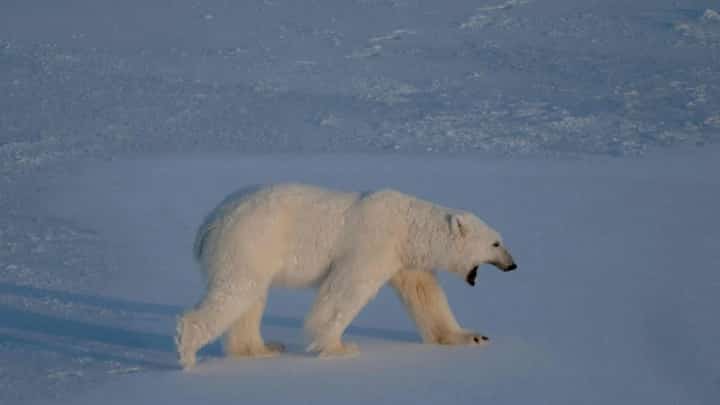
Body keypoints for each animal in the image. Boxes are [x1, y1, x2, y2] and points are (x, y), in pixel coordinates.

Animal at [176, 183, 517, 369]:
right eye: (496, 243)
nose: (513, 265)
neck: (407, 226)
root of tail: (209, 222)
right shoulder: (373, 242)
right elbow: (347, 288)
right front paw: (339, 347)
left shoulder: (405, 259)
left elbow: (425, 295)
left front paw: (472, 336)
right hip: (250, 240)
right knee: (236, 291)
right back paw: (188, 351)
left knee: (251, 298)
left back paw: (261, 349)